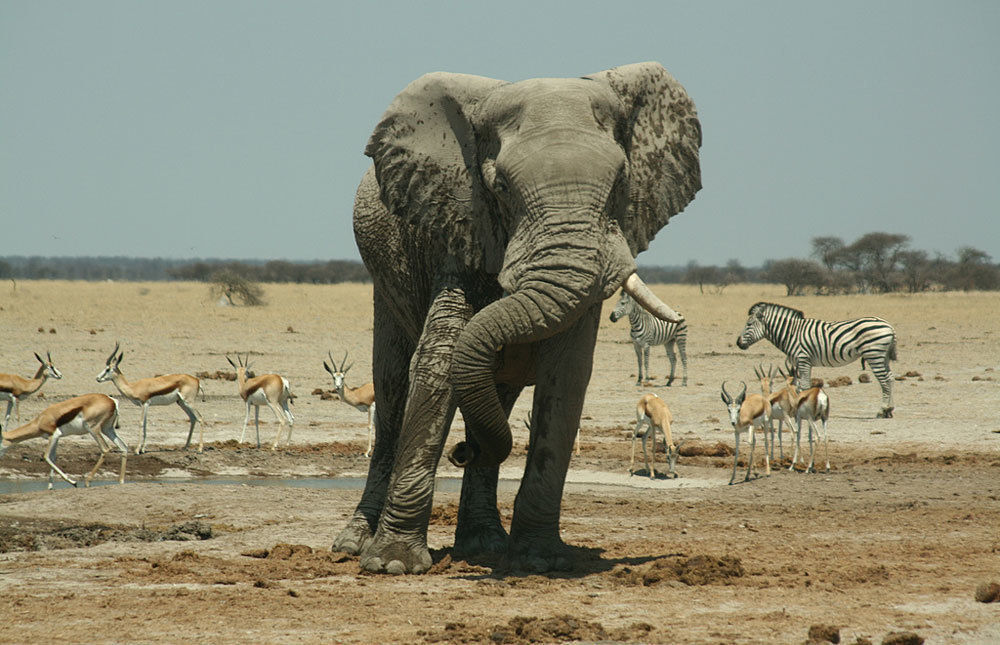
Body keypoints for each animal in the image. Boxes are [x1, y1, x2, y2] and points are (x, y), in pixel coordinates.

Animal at [0, 392, 129, 488]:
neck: (40, 420)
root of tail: (111, 400)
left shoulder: (54, 435)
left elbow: (46, 456)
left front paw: (73, 482)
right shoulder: (56, 437)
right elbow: (53, 457)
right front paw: (50, 487)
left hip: (93, 428)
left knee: (105, 449)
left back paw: (87, 482)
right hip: (107, 429)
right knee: (123, 447)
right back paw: (121, 481)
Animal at [336, 61, 704, 572]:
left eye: (620, 184)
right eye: (501, 188)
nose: (461, 452)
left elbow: (566, 378)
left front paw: (542, 560)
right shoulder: (460, 228)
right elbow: (437, 364)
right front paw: (392, 565)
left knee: (498, 396)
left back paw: (484, 545)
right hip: (385, 277)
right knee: (392, 393)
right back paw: (354, 545)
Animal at [736, 302, 900, 418]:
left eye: (749, 324)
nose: (738, 343)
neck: (791, 333)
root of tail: (889, 326)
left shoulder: (803, 359)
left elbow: (804, 386)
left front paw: (801, 409)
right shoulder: (801, 362)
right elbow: (799, 386)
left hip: (874, 354)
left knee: (884, 381)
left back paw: (882, 410)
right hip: (883, 356)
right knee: (890, 378)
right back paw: (890, 410)